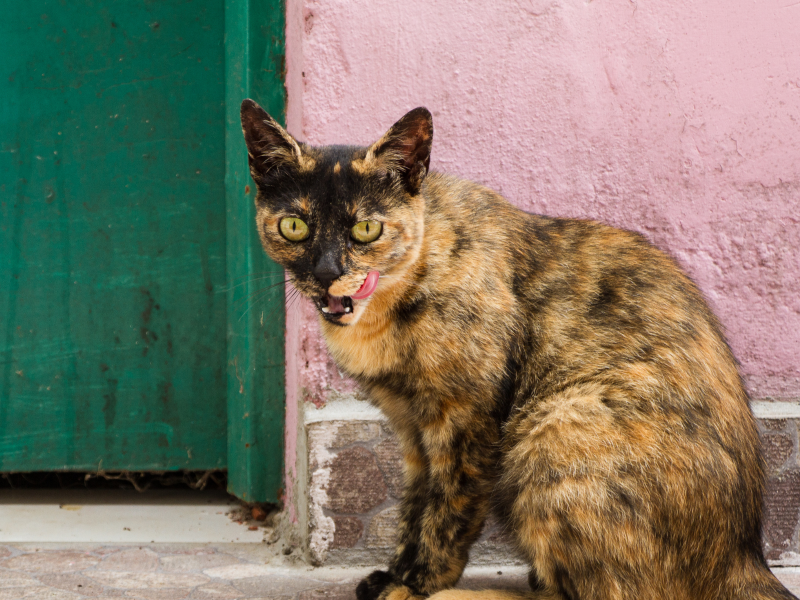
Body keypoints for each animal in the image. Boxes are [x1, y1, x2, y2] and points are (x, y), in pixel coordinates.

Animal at [239, 99, 792, 600]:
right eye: (294, 226)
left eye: (365, 228)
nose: (327, 272)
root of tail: (742, 559)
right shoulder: (410, 428)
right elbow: (413, 507)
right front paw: (395, 573)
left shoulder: (464, 420)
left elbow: (446, 512)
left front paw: (416, 585)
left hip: (553, 432)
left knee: (605, 593)